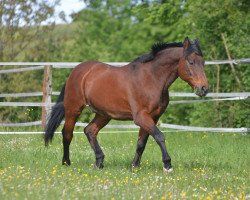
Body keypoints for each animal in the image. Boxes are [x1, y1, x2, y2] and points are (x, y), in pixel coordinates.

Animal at [44, 38, 208, 173]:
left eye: (203, 62)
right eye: (191, 62)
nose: (204, 88)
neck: (151, 78)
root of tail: (77, 71)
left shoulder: (152, 118)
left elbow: (141, 143)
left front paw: (134, 166)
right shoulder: (141, 117)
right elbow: (160, 136)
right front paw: (167, 166)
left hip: (103, 114)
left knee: (89, 130)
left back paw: (99, 162)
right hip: (73, 109)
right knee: (67, 134)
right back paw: (66, 162)